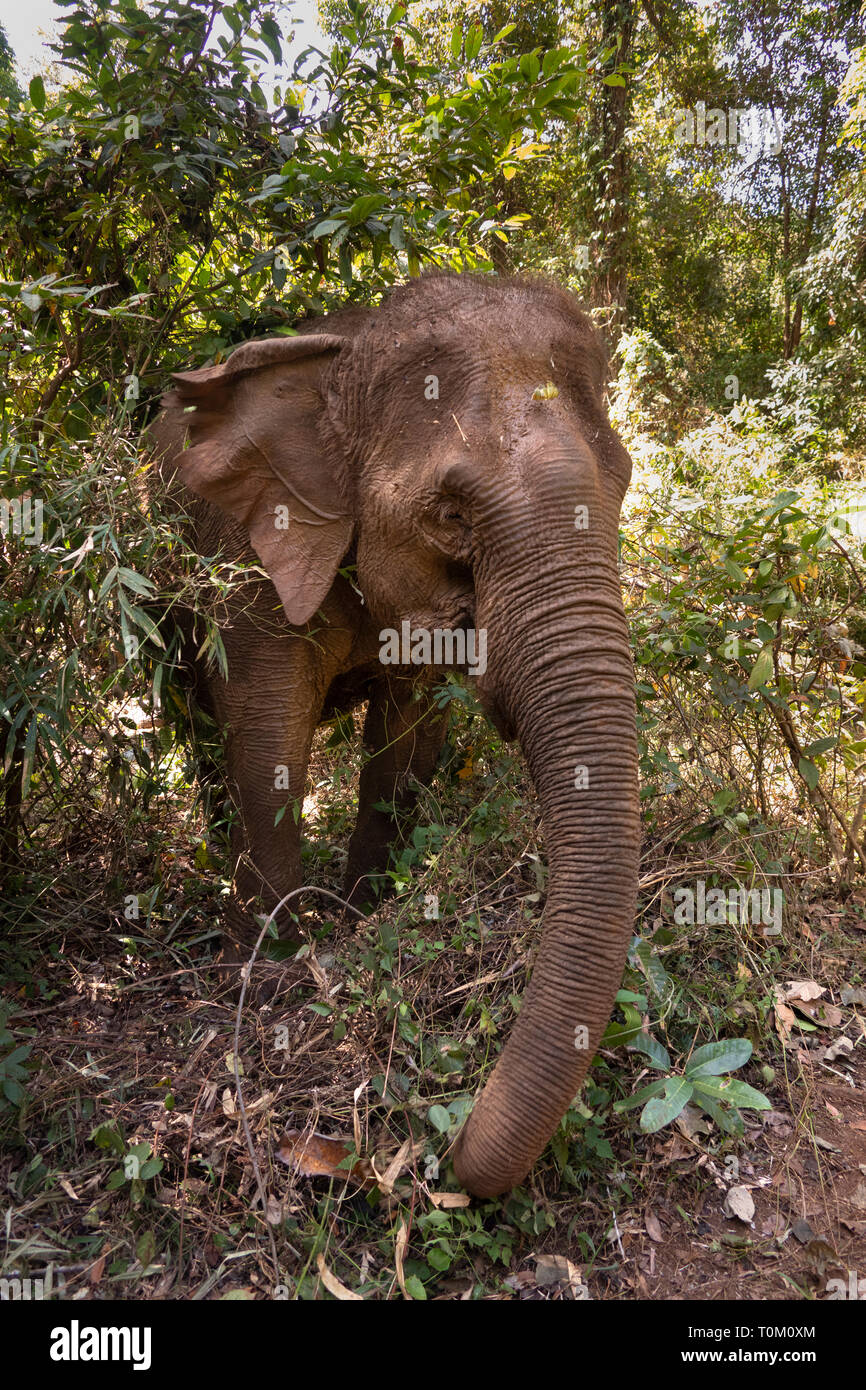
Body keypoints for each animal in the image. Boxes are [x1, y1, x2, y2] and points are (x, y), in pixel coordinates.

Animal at [147, 271, 640, 1199]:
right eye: (449, 514)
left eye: (624, 483)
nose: (448, 1149)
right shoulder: (245, 553)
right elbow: (266, 743)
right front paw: (273, 963)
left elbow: (404, 743)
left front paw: (364, 912)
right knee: (196, 736)